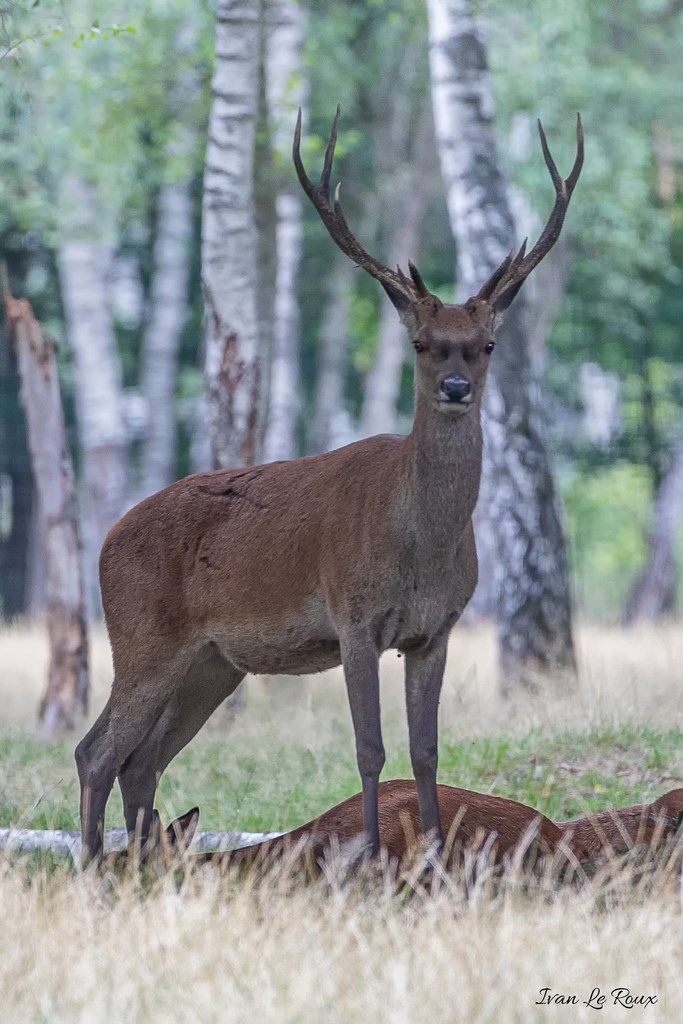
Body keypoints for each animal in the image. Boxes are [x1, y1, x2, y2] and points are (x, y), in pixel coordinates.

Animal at [75, 107, 584, 863]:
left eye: (486, 344)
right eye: (421, 343)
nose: (456, 386)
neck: (420, 549)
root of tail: (105, 540)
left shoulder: (437, 629)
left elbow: (427, 751)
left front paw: (434, 859)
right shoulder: (353, 616)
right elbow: (370, 748)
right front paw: (370, 857)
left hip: (212, 662)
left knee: (143, 760)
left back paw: (140, 870)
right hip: (142, 636)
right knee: (97, 751)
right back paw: (91, 869)